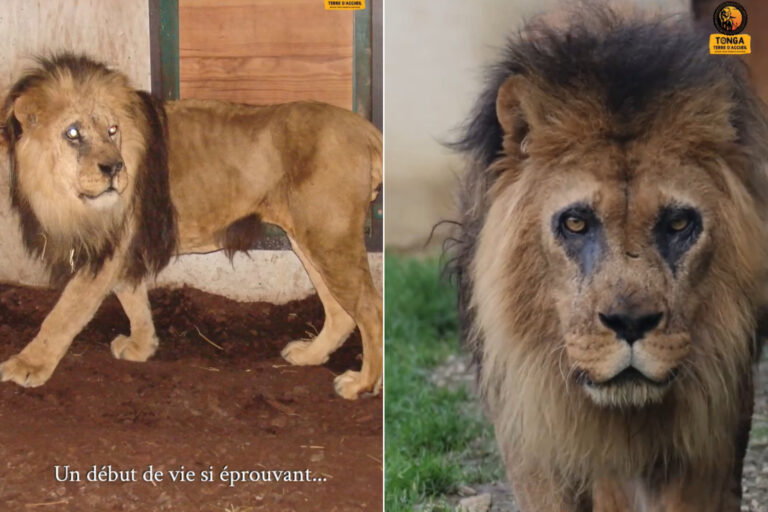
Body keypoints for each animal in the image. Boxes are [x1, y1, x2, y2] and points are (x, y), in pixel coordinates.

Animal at [0, 54, 382, 400]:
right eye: (73, 133)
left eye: (112, 130)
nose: (114, 168)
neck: (62, 193)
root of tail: (365, 130)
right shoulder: (126, 244)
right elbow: (133, 299)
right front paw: (142, 346)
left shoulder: (108, 249)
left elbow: (64, 313)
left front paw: (26, 366)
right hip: (311, 239)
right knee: (341, 312)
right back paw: (309, 355)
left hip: (329, 239)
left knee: (371, 308)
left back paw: (362, 384)